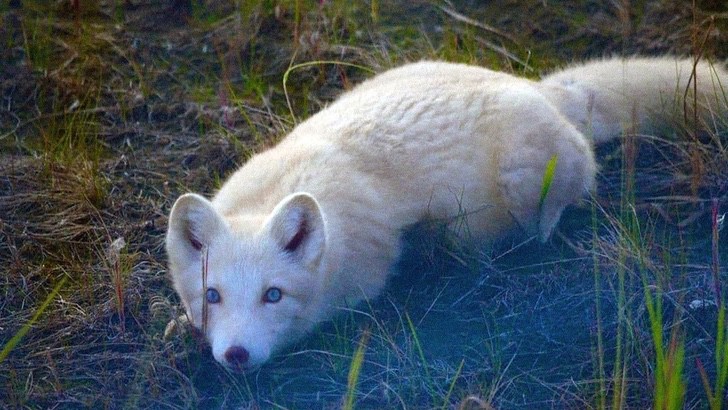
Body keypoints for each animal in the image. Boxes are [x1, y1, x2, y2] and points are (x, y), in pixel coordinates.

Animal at [166, 57, 728, 372]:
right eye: (212, 295)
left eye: (273, 295)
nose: (236, 356)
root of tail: (537, 88)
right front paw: (179, 324)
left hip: (526, 182)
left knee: (548, 216)